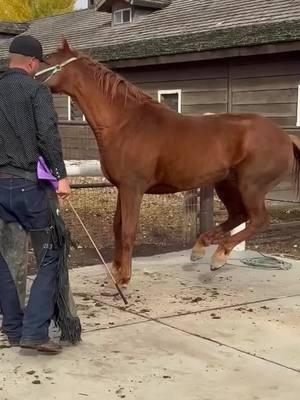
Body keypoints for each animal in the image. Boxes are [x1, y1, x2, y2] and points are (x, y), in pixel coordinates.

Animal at [37, 39, 300, 284]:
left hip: (251, 186)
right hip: (226, 184)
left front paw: (124, 278)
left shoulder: (133, 188)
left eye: (47, 60)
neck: (125, 122)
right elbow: (117, 228)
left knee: (258, 219)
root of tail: (285, 137)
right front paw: (115, 272)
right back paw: (200, 248)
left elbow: (128, 231)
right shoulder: (122, 187)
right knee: (239, 216)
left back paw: (219, 256)